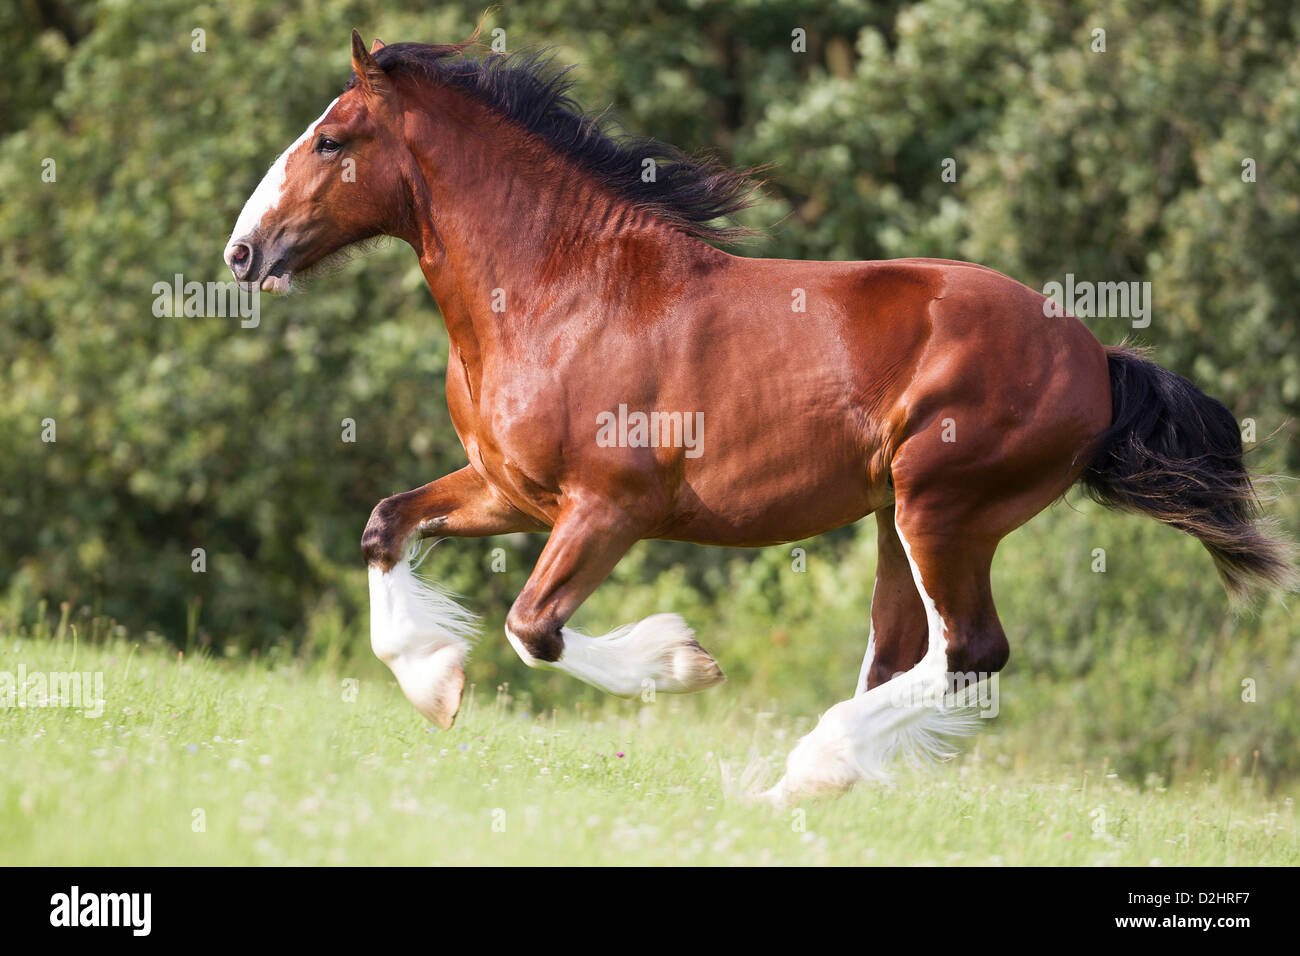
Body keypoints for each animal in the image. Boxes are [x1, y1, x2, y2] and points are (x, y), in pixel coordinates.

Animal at [224, 30, 1296, 802]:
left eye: (331, 138)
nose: (242, 251)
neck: (558, 291)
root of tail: (1096, 360)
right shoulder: (509, 490)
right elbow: (385, 526)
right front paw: (433, 681)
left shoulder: (607, 507)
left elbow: (535, 627)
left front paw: (681, 662)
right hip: (896, 518)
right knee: (907, 650)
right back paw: (803, 787)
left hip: (943, 507)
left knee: (971, 653)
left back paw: (808, 770)